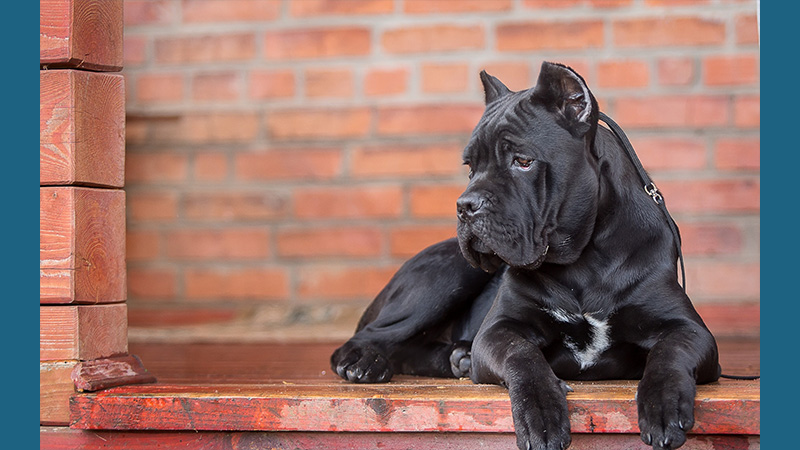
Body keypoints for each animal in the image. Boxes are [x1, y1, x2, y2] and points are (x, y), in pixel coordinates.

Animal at [328, 61, 720, 450]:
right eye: (470, 167)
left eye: (523, 161)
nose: (465, 205)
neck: (584, 260)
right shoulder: (498, 330)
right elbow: (523, 355)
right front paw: (541, 414)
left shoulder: (689, 330)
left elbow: (669, 355)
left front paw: (664, 405)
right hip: (448, 274)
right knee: (370, 336)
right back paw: (366, 362)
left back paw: (457, 357)